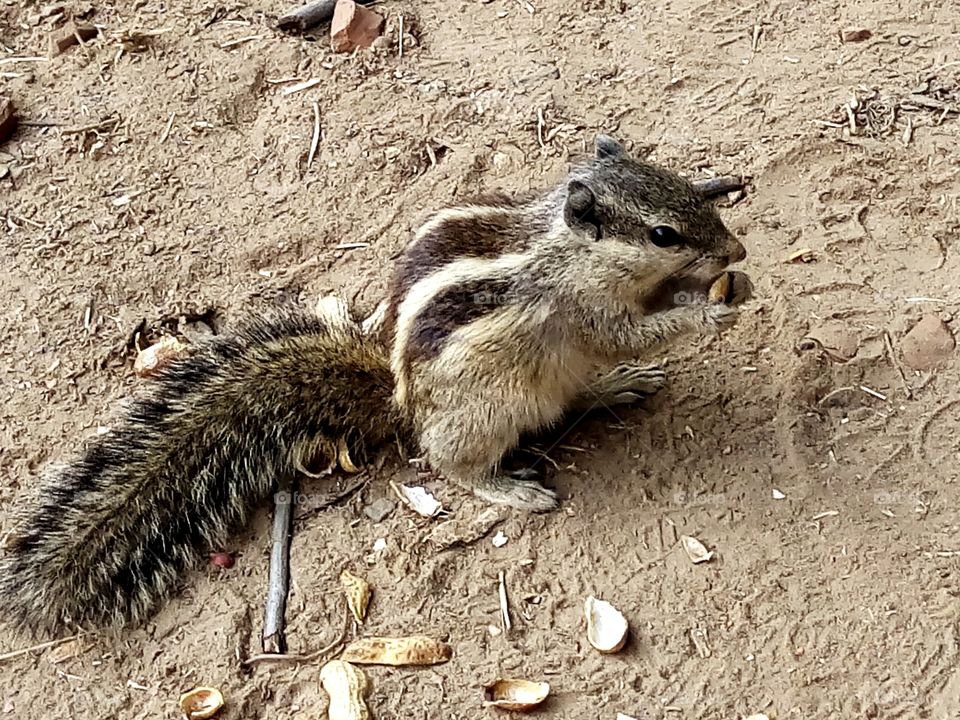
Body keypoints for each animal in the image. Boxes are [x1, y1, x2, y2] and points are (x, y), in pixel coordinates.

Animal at [0, 134, 751, 636]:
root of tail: (399, 398)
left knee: (569, 399)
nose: (735, 250)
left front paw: (721, 286)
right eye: (663, 233)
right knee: (451, 463)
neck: (567, 249)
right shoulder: (583, 310)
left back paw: (614, 388)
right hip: (486, 411)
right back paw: (510, 488)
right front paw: (706, 309)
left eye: (688, 189)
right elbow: (628, 331)